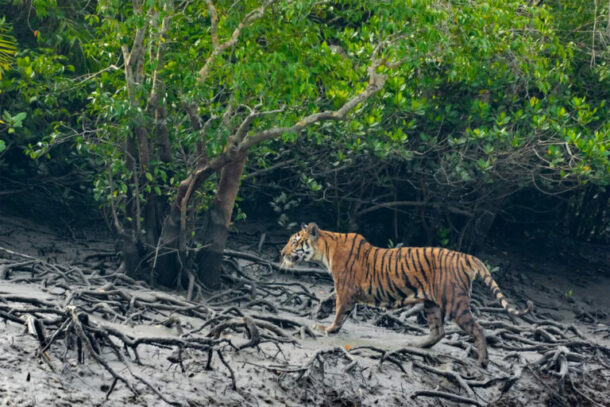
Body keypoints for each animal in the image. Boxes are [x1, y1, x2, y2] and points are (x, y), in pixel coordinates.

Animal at [278, 223, 528, 366]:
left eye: (294, 241)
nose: (281, 252)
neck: (326, 248)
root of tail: (465, 256)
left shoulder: (345, 288)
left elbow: (340, 312)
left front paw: (328, 328)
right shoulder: (344, 288)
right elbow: (330, 297)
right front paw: (321, 310)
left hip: (453, 301)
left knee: (477, 328)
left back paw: (482, 361)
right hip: (431, 303)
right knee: (439, 331)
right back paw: (416, 345)